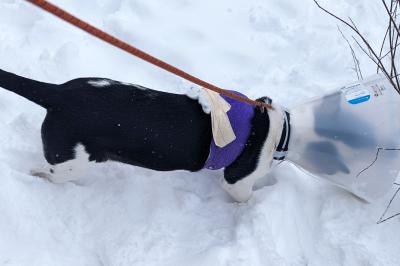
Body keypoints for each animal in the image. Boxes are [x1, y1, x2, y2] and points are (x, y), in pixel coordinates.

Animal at [0, 68, 288, 202]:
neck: (281, 129)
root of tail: (58, 93)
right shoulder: (237, 183)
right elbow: (247, 198)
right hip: (70, 166)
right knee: (45, 173)